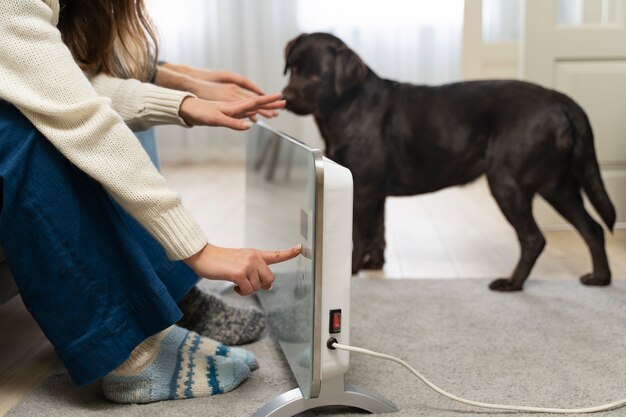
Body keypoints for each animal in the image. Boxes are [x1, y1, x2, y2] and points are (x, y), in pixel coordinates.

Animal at [280, 32, 612, 290]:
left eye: (316, 74)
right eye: (293, 67)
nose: (286, 96)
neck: (348, 105)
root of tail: (561, 100)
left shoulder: (361, 189)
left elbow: (358, 235)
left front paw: (351, 270)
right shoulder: (376, 193)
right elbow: (378, 232)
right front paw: (374, 264)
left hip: (509, 183)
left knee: (534, 238)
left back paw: (512, 283)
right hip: (559, 185)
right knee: (593, 228)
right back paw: (600, 278)